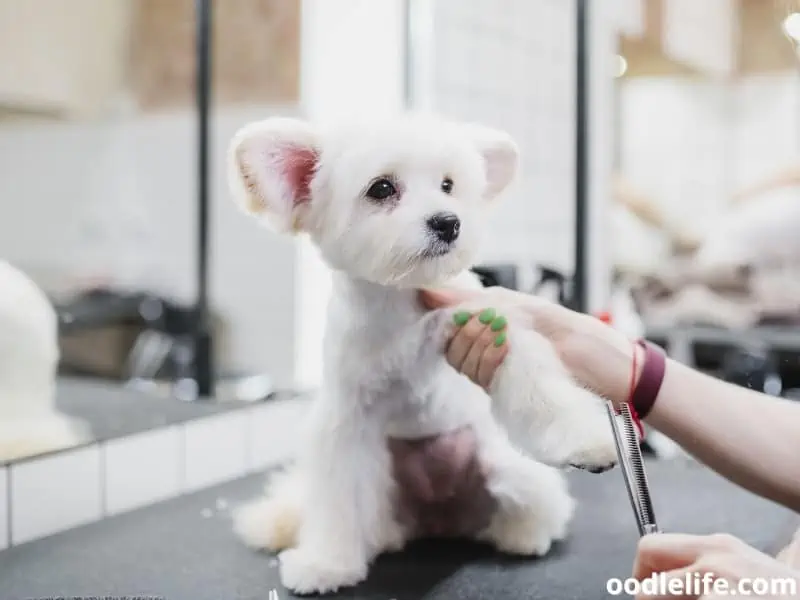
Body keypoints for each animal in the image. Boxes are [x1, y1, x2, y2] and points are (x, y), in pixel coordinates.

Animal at [228, 115, 616, 592]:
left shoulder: (486, 322)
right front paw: (327, 563)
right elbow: (339, 494)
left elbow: (537, 383)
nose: (448, 222)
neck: (400, 302)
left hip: (511, 474)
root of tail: (438, 516)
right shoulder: (346, 418)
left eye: (448, 185)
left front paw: (587, 441)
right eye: (381, 188)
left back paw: (521, 536)